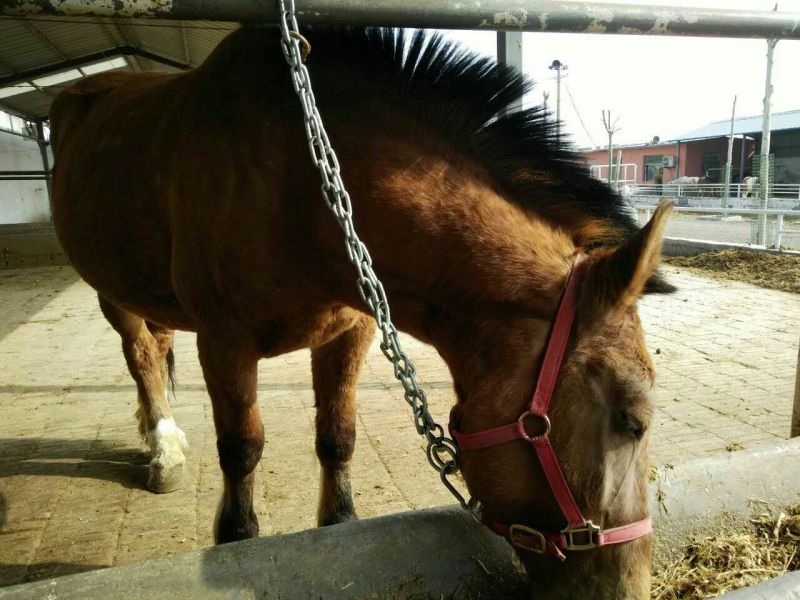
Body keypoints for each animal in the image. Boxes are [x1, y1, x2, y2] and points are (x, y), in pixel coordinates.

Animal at [49, 26, 674, 598]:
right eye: (633, 422)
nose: (631, 589)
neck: (298, 179)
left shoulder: (350, 332)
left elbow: (338, 437)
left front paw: (338, 527)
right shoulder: (224, 341)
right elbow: (242, 449)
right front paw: (237, 539)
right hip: (112, 294)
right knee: (141, 356)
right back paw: (161, 445)